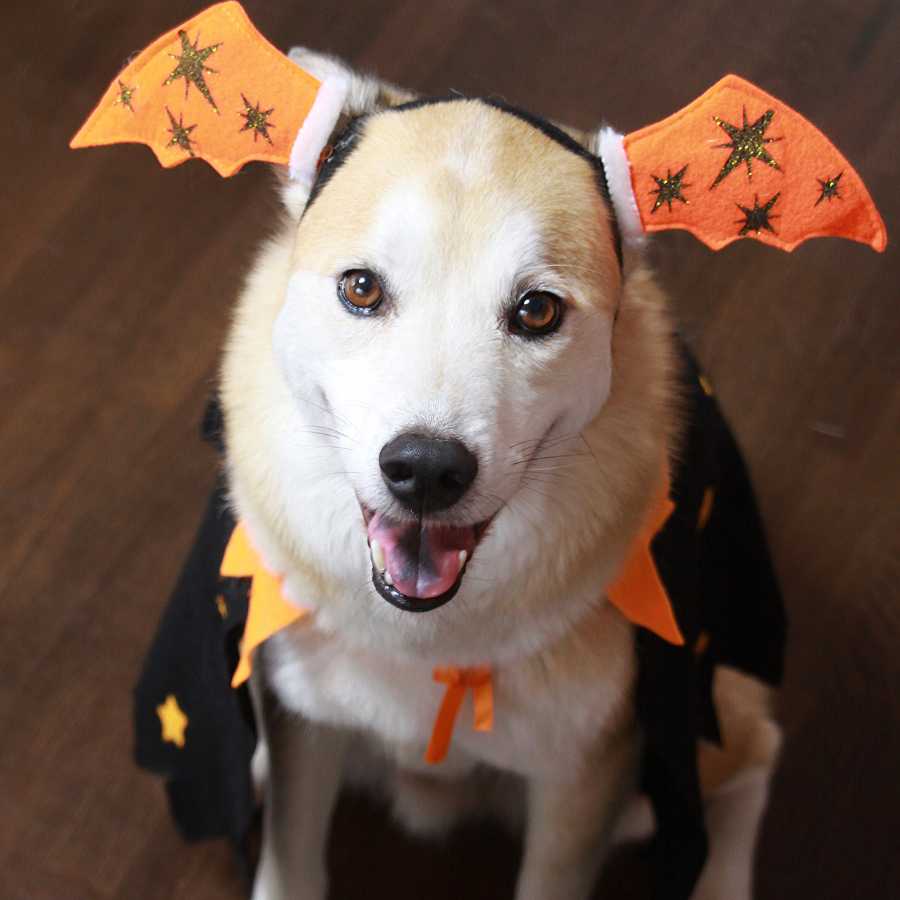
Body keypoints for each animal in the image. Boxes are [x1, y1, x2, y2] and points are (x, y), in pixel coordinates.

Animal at [209, 51, 780, 900]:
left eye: (538, 311)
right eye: (361, 288)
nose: (425, 469)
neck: (429, 636)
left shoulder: (582, 778)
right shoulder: (305, 726)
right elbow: (290, 862)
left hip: (705, 736)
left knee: (756, 757)